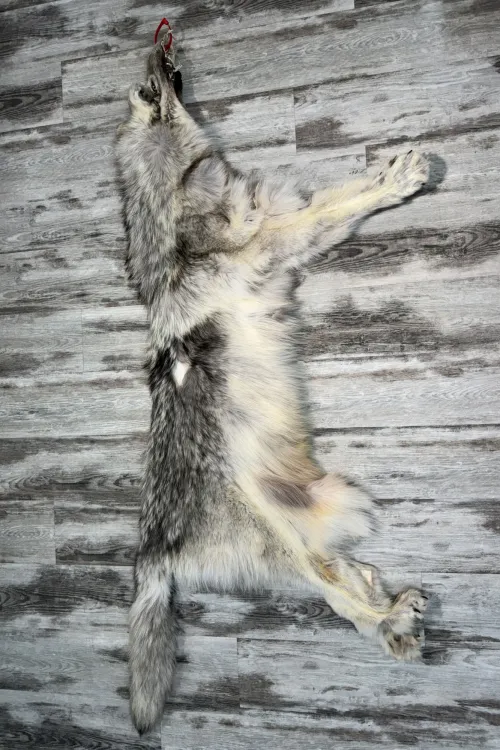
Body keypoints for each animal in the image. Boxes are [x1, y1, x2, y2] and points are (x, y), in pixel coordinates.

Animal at [115, 33, 429, 735]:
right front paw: (392, 180)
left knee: (336, 576)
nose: (157, 36)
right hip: (275, 538)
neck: (177, 201)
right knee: (332, 596)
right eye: (147, 86)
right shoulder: (276, 239)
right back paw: (388, 614)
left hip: (331, 500)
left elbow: (332, 199)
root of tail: (151, 553)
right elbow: (341, 200)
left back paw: (384, 602)